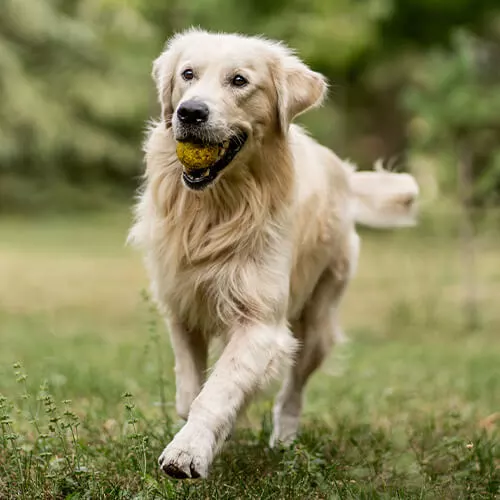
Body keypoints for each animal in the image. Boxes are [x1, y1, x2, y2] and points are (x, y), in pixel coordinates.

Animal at [129, 28, 418, 480]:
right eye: (187, 74)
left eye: (239, 81)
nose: (189, 112)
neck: (218, 209)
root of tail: (344, 172)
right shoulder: (182, 306)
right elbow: (191, 391)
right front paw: (203, 434)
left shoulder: (261, 323)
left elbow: (217, 391)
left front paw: (188, 451)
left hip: (315, 322)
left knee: (293, 389)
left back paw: (284, 439)